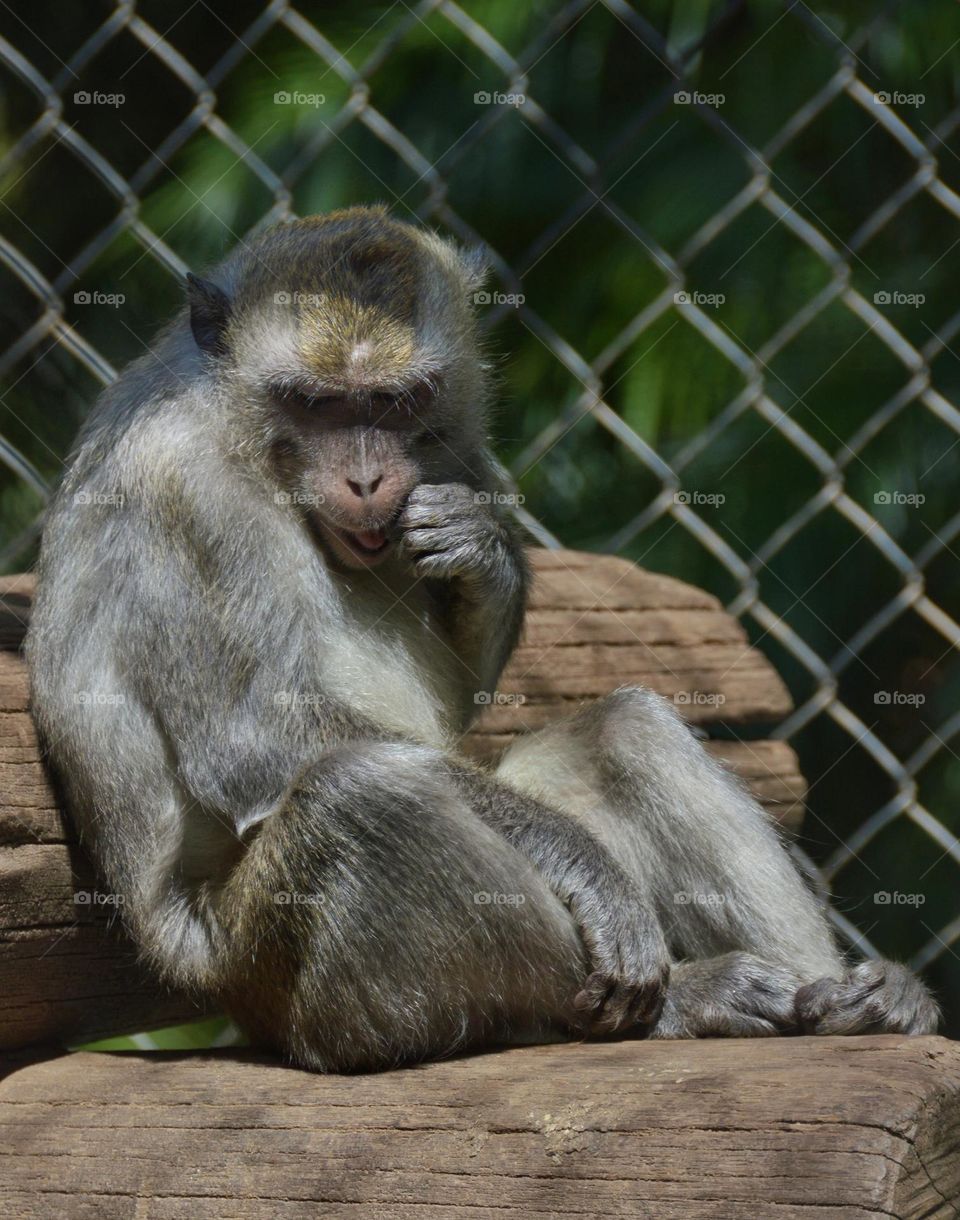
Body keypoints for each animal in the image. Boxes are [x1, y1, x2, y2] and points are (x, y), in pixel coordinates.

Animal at [26, 206, 938, 1072]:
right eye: (315, 403)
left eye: (396, 401)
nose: (366, 478)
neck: (247, 440)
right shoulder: (182, 487)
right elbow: (252, 734)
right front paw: (587, 867)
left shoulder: (461, 450)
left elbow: (467, 694)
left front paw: (482, 550)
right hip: (265, 975)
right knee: (360, 794)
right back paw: (665, 1003)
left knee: (624, 730)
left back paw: (854, 999)